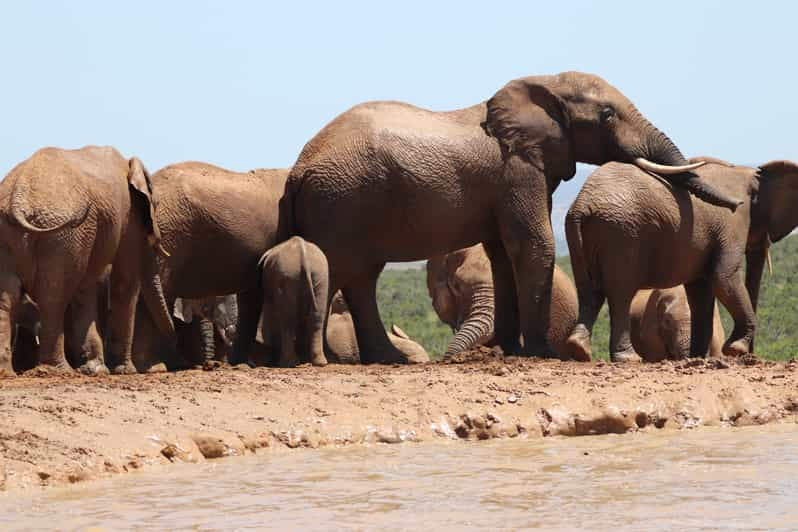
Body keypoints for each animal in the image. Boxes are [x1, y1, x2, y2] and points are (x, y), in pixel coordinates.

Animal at [0, 145, 174, 376]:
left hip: (21, 233)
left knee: (8, 297)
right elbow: (124, 282)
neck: (129, 164)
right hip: (63, 235)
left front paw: (95, 369)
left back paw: (7, 372)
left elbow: (88, 285)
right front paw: (124, 371)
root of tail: (18, 199)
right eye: (156, 204)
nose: (174, 334)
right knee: (53, 297)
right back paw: (59, 370)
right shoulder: (128, 218)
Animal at [564, 157, 798, 362]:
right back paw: (628, 359)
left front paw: (698, 357)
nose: (751, 355)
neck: (750, 174)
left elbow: (700, 290)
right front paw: (735, 349)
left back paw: (579, 350)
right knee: (620, 294)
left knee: (589, 290)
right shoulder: (733, 223)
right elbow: (723, 277)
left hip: (580, 234)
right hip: (620, 233)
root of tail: (582, 205)